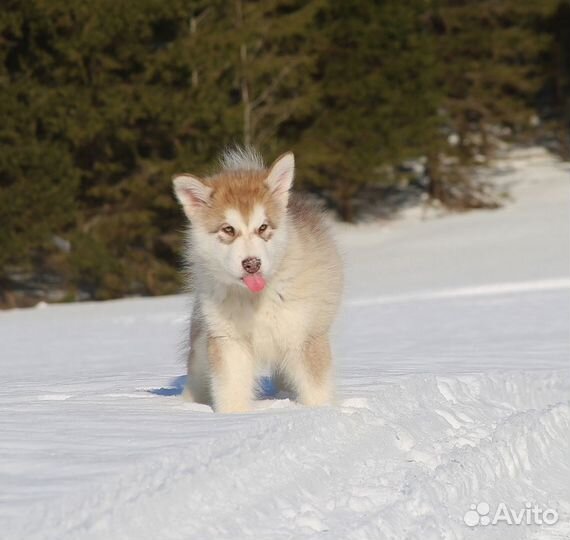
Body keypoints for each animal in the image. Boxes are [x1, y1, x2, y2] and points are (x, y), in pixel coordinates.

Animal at [172, 149, 342, 414]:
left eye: (263, 227)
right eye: (228, 229)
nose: (252, 263)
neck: (256, 299)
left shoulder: (305, 337)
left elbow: (316, 390)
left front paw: (318, 414)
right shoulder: (229, 343)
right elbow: (231, 390)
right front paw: (234, 417)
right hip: (202, 342)